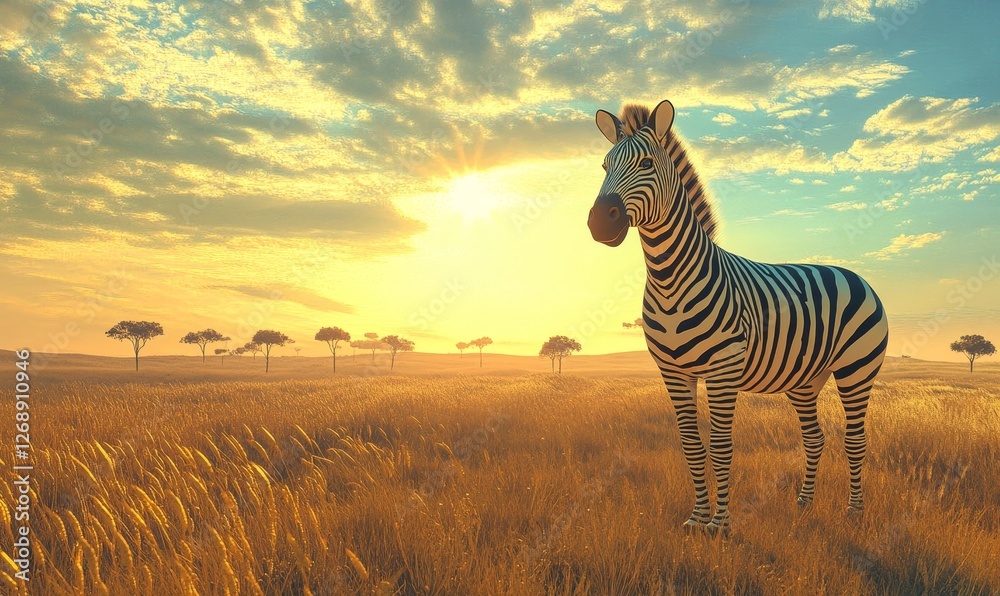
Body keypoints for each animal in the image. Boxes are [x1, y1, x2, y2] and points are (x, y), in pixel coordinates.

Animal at [587, 100, 888, 533]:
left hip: (857, 370)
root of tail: (852, 274)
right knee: (814, 438)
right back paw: (804, 503)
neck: (669, 278)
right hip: (805, 380)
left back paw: (855, 511)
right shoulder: (673, 373)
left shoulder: (723, 369)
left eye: (645, 163)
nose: (599, 222)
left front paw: (721, 525)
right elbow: (692, 446)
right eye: (604, 165)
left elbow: (721, 445)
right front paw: (697, 518)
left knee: (855, 439)